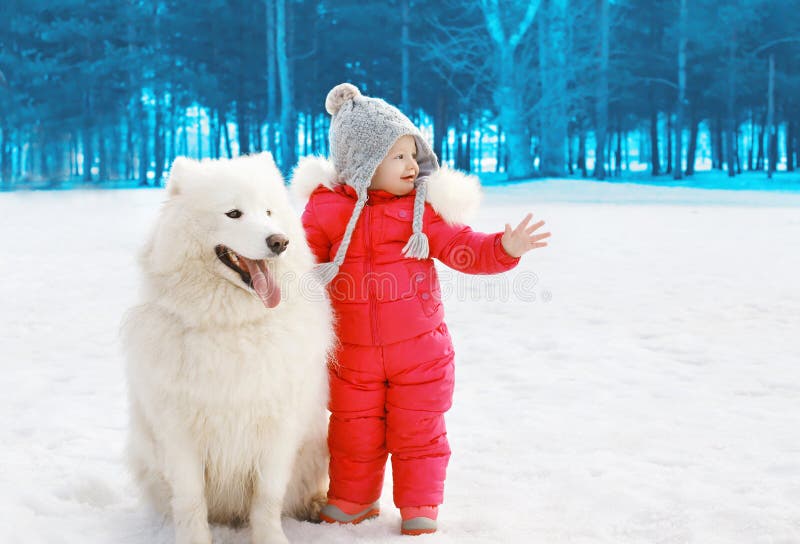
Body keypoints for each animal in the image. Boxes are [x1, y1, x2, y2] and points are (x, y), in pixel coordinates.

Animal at [120, 152, 332, 544]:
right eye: (234, 213)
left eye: (268, 212)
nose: (279, 242)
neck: (231, 326)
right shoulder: (180, 434)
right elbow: (191, 501)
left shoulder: (277, 429)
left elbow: (267, 499)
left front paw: (271, 539)